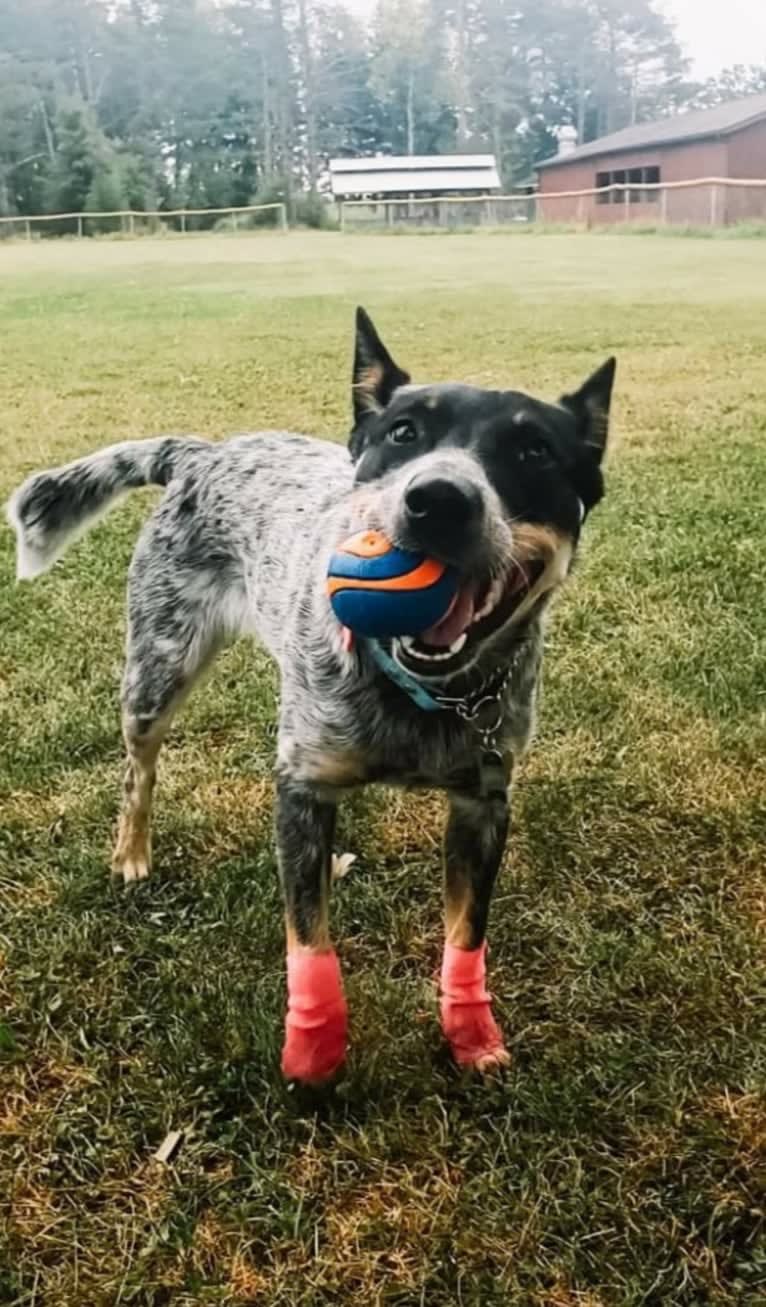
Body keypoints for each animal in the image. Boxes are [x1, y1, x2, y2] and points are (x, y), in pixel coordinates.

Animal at [7, 308, 614, 1082]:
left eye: (533, 450)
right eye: (404, 433)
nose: (438, 499)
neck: (417, 692)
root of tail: (200, 452)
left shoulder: (485, 803)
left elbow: (465, 932)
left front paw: (469, 1030)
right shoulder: (301, 787)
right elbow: (309, 935)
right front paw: (315, 1041)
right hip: (156, 668)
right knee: (137, 771)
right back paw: (133, 852)